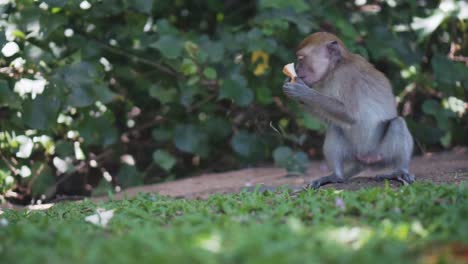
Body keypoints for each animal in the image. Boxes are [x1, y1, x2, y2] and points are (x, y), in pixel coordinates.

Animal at [282, 32, 414, 189]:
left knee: (398, 123)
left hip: (381, 155)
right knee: (335, 127)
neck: (335, 68)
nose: (297, 67)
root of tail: (365, 160)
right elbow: (333, 119)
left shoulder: (347, 77)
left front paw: (302, 92)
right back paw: (336, 176)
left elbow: (350, 115)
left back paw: (400, 171)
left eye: (301, 58)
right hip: (354, 153)